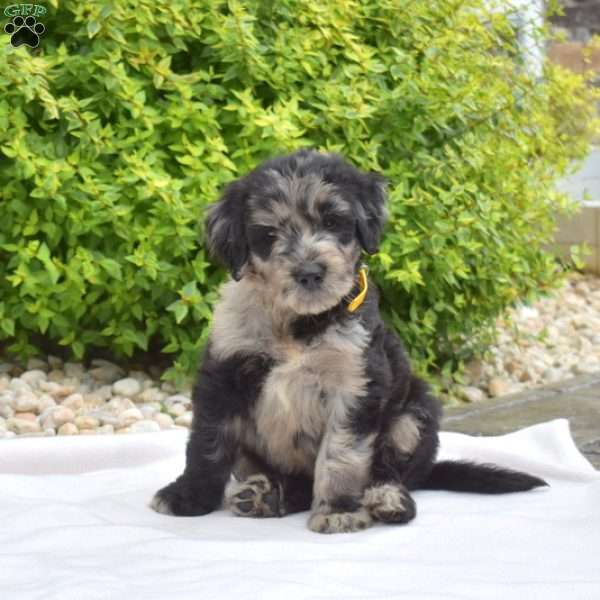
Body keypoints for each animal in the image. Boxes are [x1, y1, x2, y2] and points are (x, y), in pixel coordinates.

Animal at [151, 150, 548, 536]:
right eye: (269, 233)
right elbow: (207, 444)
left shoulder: (356, 383)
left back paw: (387, 500)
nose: (310, 273)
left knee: (391, 471)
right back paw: (266, 496)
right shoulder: (224, 371)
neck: (298, 324)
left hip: (414, 414)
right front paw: (186, 496)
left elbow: (342, 455)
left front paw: (339, 510)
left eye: (333, 221)